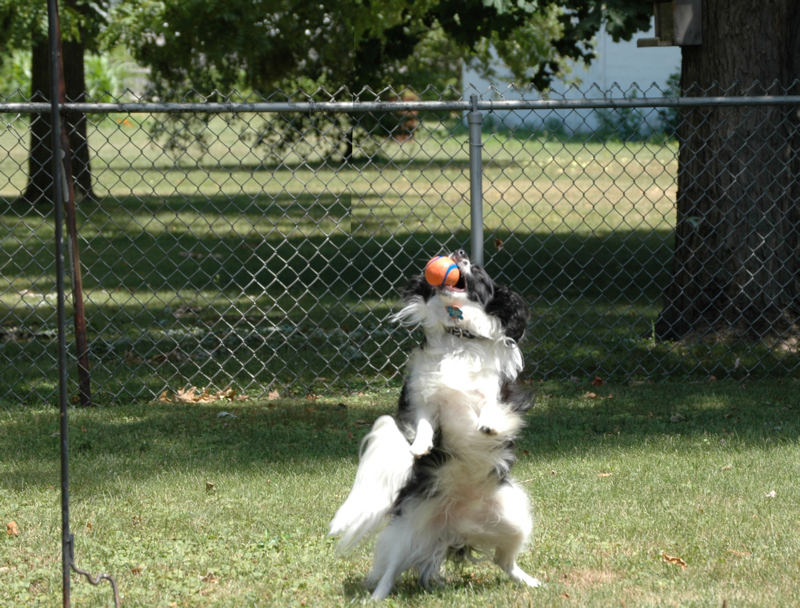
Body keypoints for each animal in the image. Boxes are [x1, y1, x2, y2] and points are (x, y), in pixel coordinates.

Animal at [328, 251, 540, 600]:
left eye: (478, 271)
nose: (460, 254)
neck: (459, 338)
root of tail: (453, 526)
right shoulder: (425, 398)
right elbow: (426, 424)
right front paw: (419, 447)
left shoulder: (501, 393)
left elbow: (491, 408)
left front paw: (488, 426)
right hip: (406, 532)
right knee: (390, 571)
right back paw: (377, 597)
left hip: (514, 520)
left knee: (504, 560)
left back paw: (529, 581)